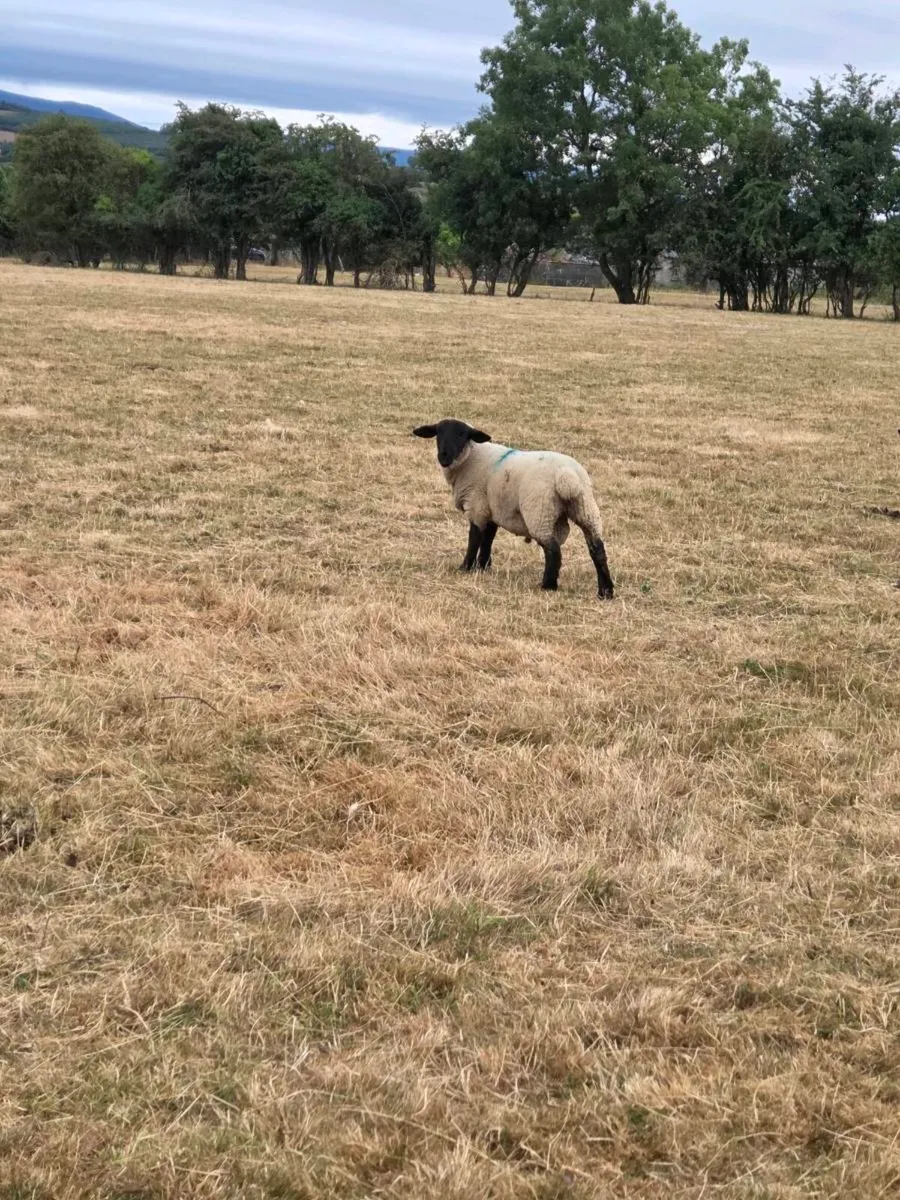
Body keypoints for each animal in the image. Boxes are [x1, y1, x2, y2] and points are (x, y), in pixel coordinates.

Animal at [412, 418, 614, 599]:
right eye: (438, 433)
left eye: (463, 435)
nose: (444, 456)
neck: (471, 457)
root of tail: (567, 476)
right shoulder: (492, 508)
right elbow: (488, 540)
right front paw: (483, 567)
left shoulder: (477, 506)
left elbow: (474, 539)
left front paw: (466, 567)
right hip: (585, 508)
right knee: (597, 550)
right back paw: (605, 592)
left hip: (540, 511)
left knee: (553, 550)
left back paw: (548, 586)